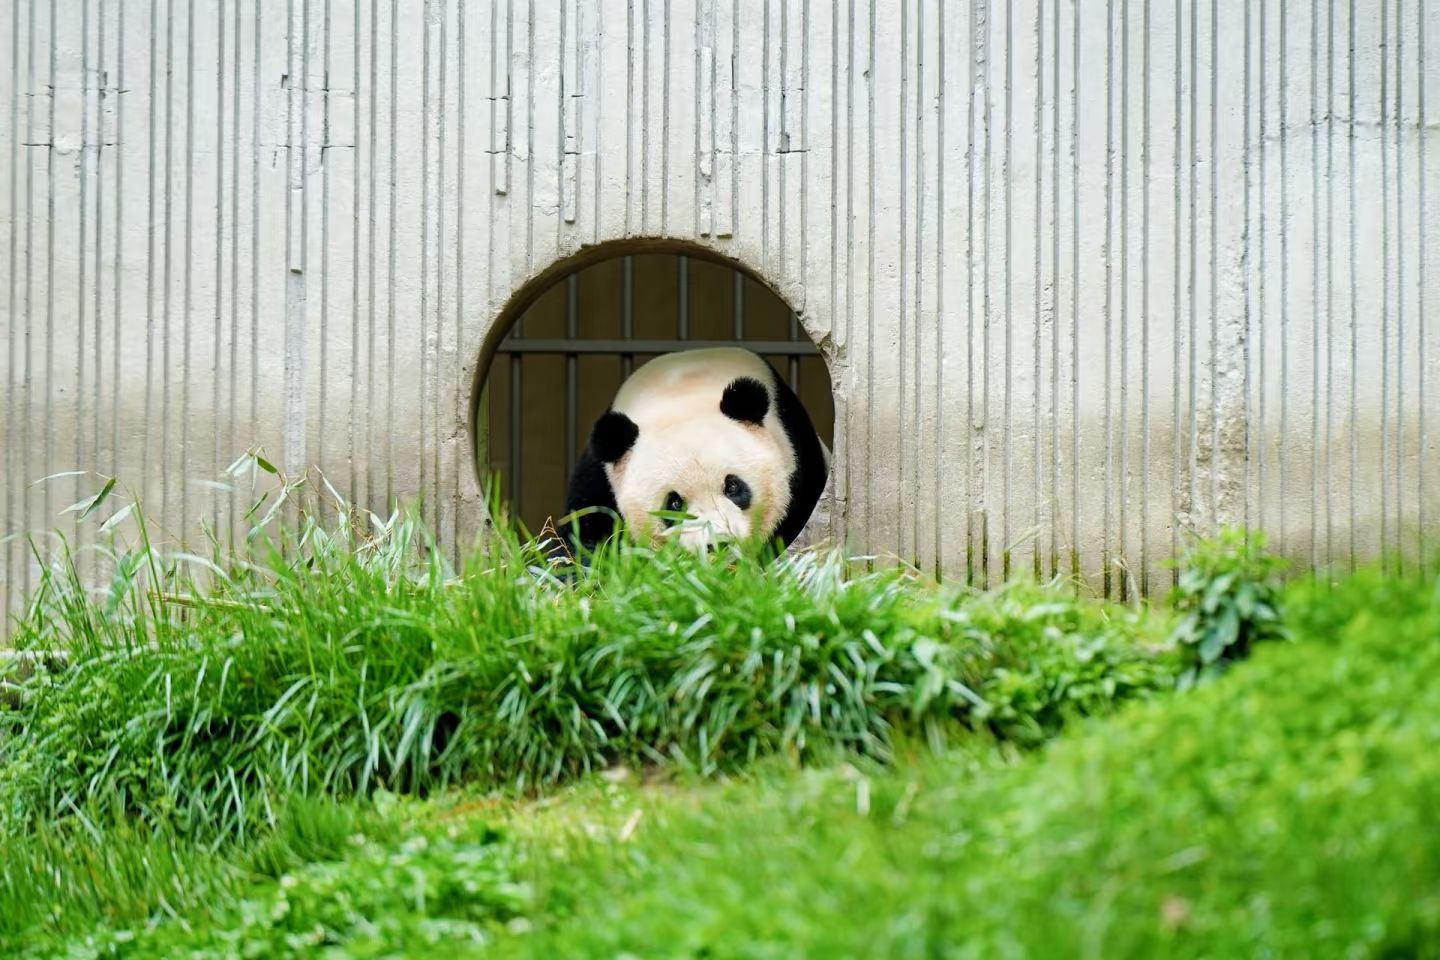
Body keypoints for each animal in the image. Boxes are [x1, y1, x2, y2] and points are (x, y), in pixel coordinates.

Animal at [561, 346, 829, 556]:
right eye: (674, 503)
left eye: (732, 486)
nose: (718, 545)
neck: (681, 390)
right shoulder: (600, 475)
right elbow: (586, 530)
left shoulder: (796, 453)